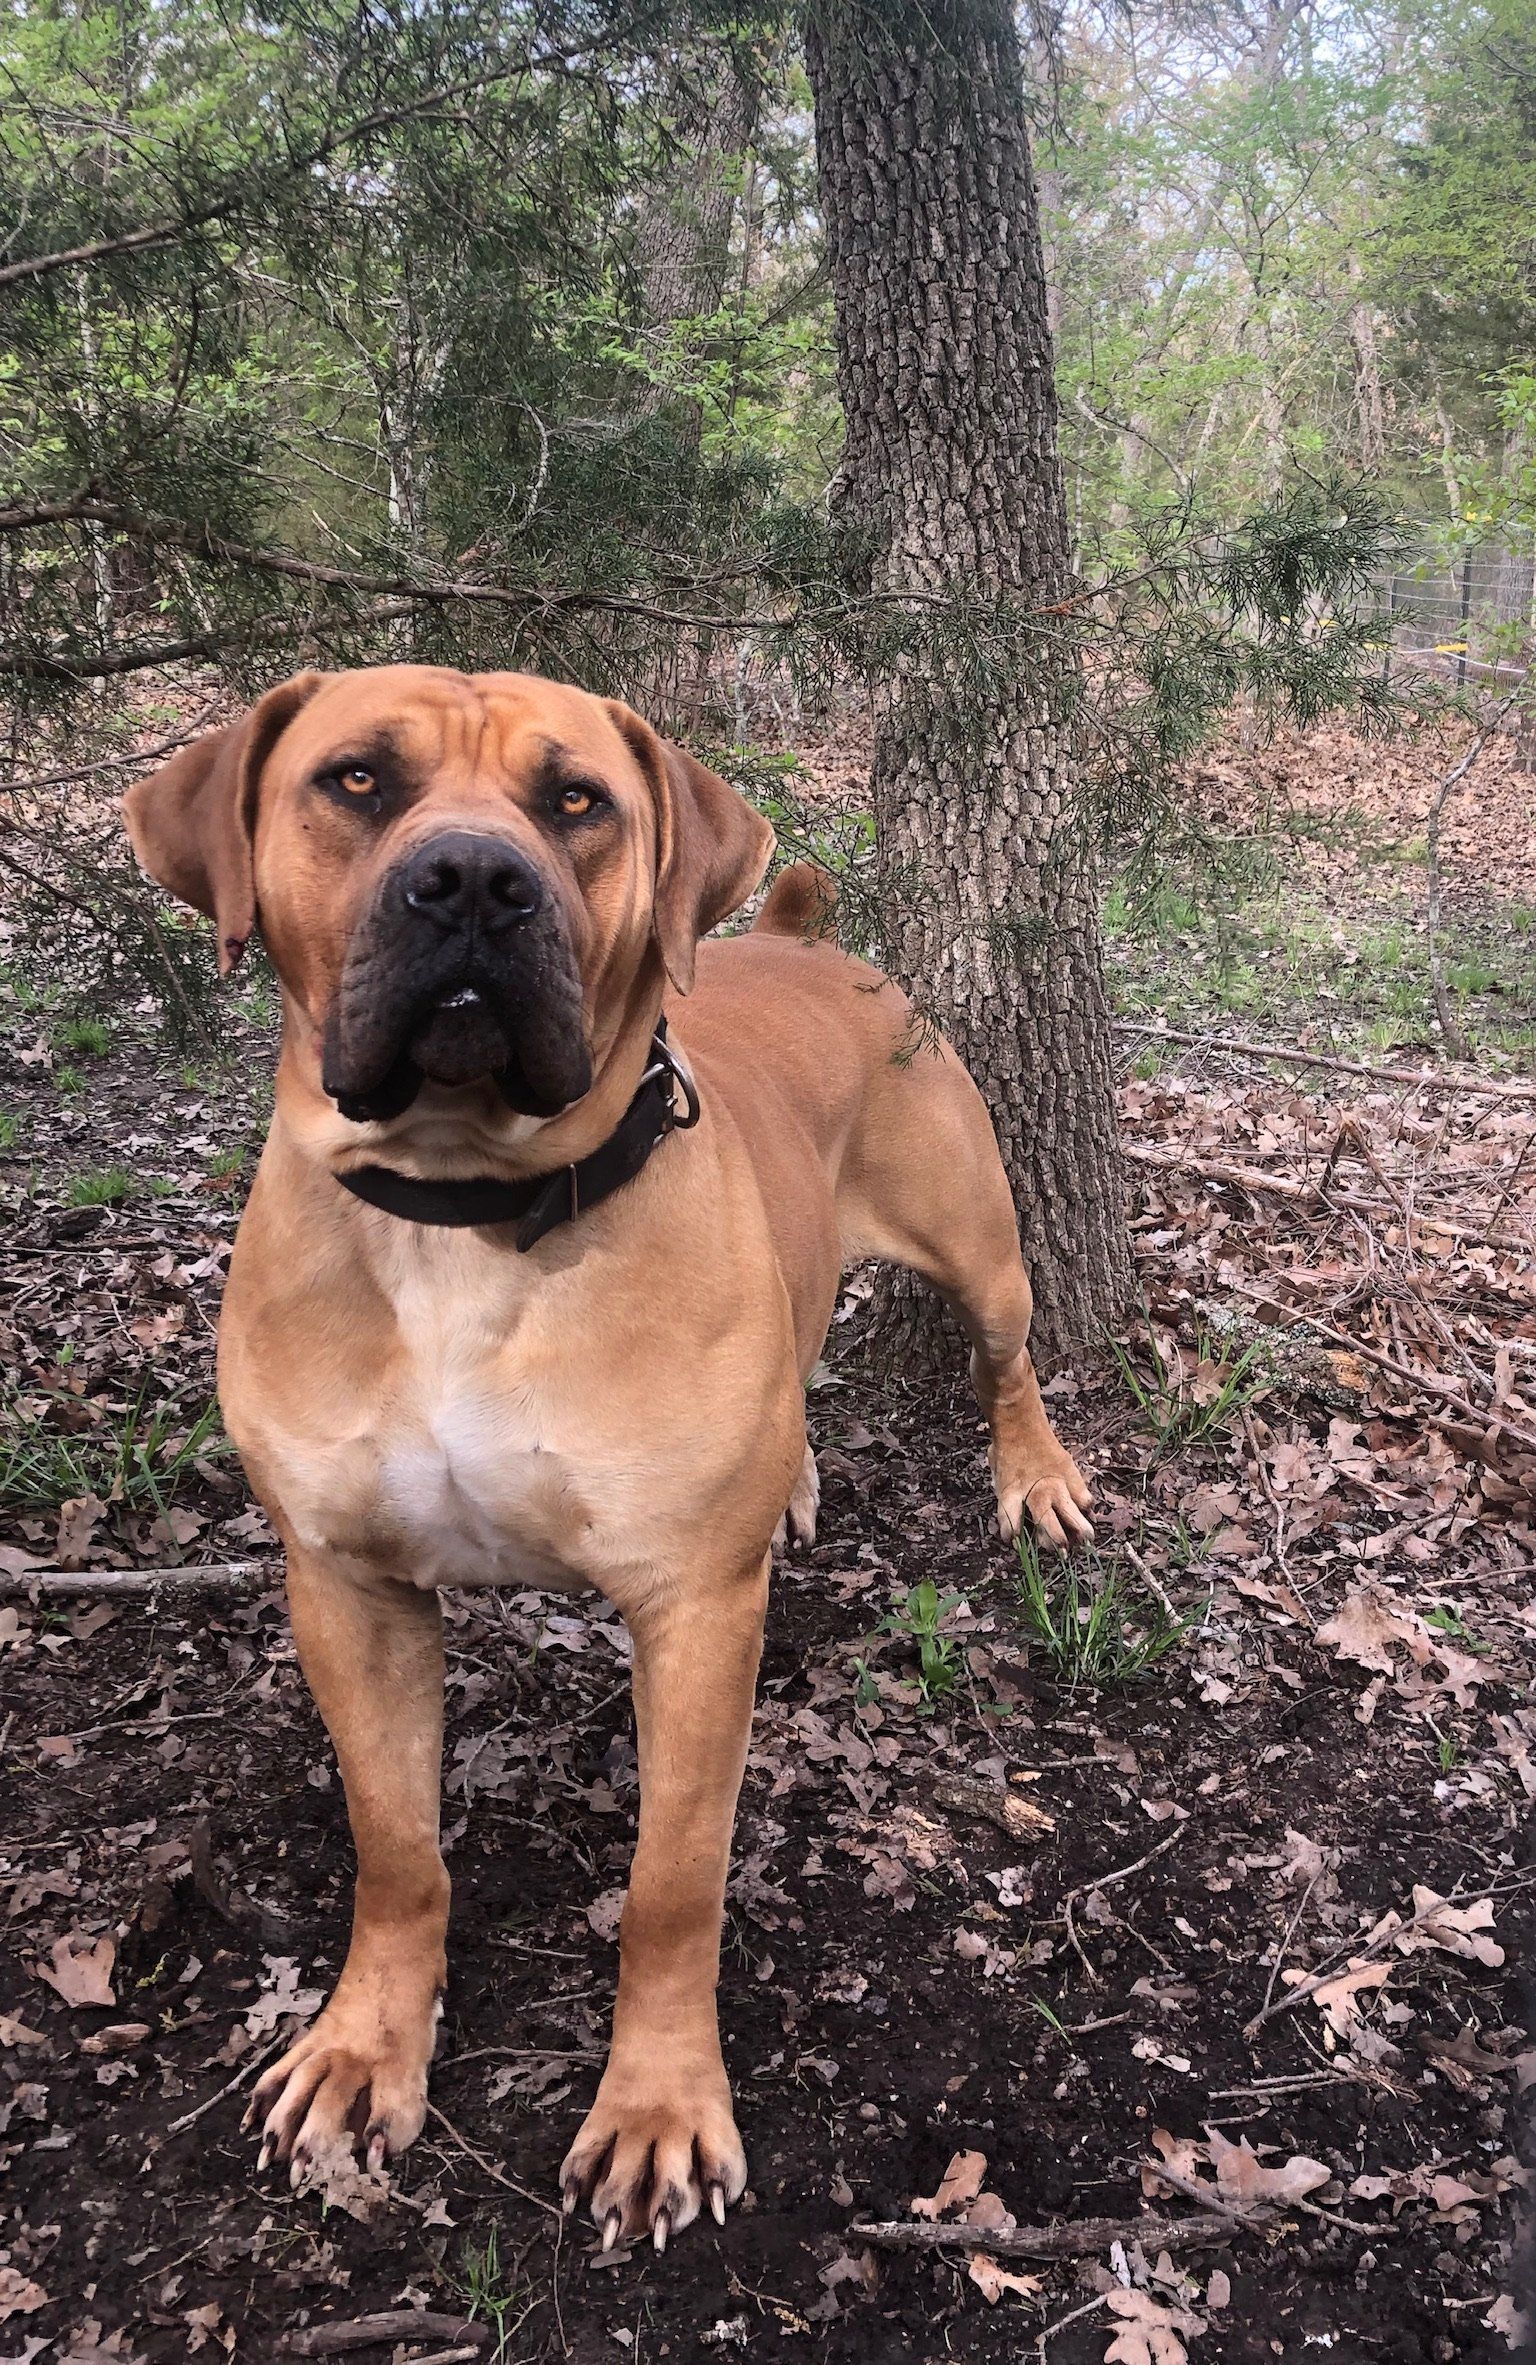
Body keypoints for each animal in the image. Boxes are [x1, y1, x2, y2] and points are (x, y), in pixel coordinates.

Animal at [128, 666, 1088, 2251]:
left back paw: (1038, 1475)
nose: (472, 880)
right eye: (355, 780)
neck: (462, 1212)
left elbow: (671, 1887)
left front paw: (655, 2107)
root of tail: (802, 939)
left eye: (575, 799)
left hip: (982, 1242)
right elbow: (397, 1846)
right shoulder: (347, 1589)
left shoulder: (693, 1612)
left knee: (1005, 1355)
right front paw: (365, 2048)